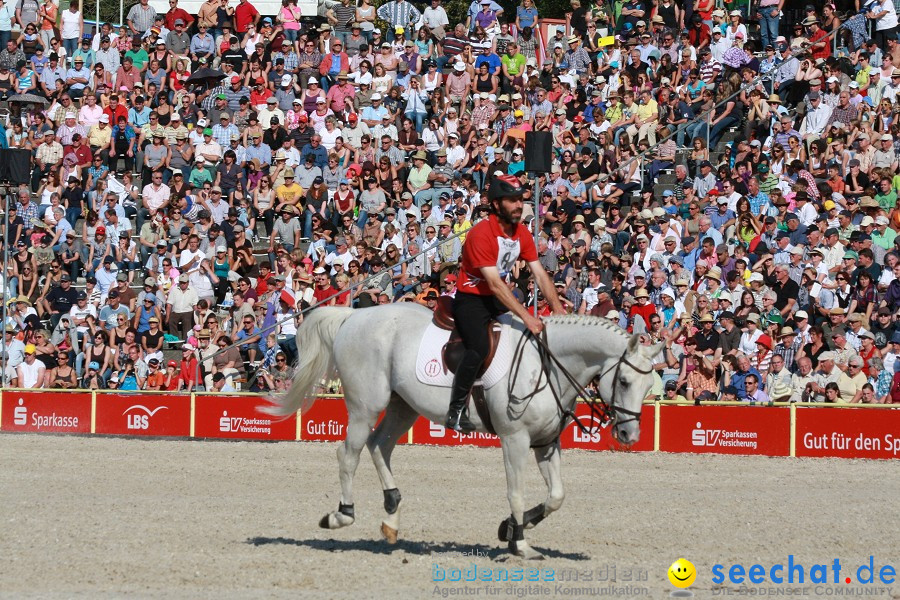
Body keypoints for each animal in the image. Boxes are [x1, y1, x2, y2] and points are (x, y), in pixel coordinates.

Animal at [264, 302, 656, 560]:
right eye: (623, 381)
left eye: (648, 385)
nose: (630, 436)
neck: (546, 364)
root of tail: (354, 316)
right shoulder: (515, 440)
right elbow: (516, 492)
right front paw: (520, 542)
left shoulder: (546, 443)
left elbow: (556, 496)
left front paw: (510, 528)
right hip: (366, 406)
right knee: (349, 453)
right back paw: (342, 514)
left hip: (402, 406)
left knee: (379, 446)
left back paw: (391, 516)